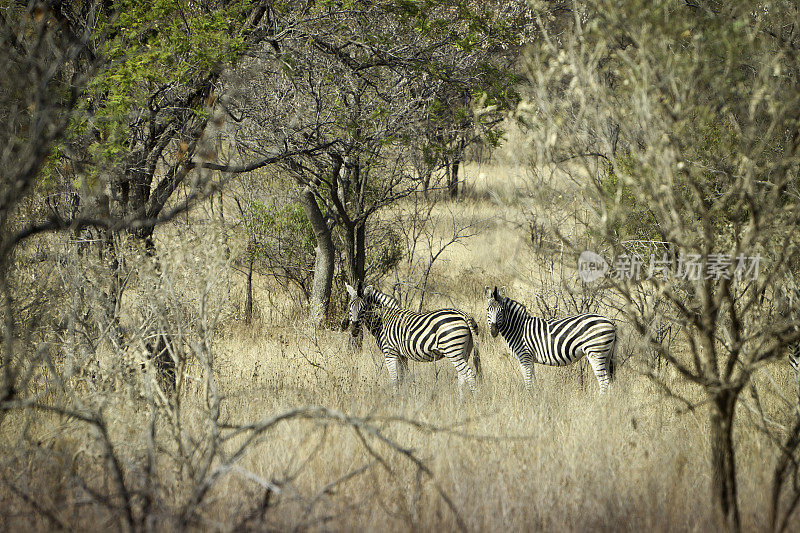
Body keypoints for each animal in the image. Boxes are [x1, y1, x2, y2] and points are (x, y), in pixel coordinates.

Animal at [344, 282, 482, 390]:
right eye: (350, 306)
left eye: (364, 308)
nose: (354, 330)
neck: (383, 320)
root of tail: (464, 315)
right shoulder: (402, 355)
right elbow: (403, 378)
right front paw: (405, 398)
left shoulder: (390, 353)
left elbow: (394, 380)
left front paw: (395, 400)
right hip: (465, 350)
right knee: (462, 376)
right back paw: (461, 402)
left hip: (452, 350)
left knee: (469, 374)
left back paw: (472, 400)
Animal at [484, 286, 616, 390]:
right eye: (488, 309)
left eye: (502, 311)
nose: (493, 331)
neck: (518, 328)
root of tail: (610, 322)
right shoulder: (530, 359)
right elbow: (533, 381)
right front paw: (535, 398)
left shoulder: (524, 357)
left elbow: (528, 383)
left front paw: (529, 400)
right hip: (606, 354)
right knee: (609, 381)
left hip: (595, 351)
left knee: (604, 381)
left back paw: (599, 402)